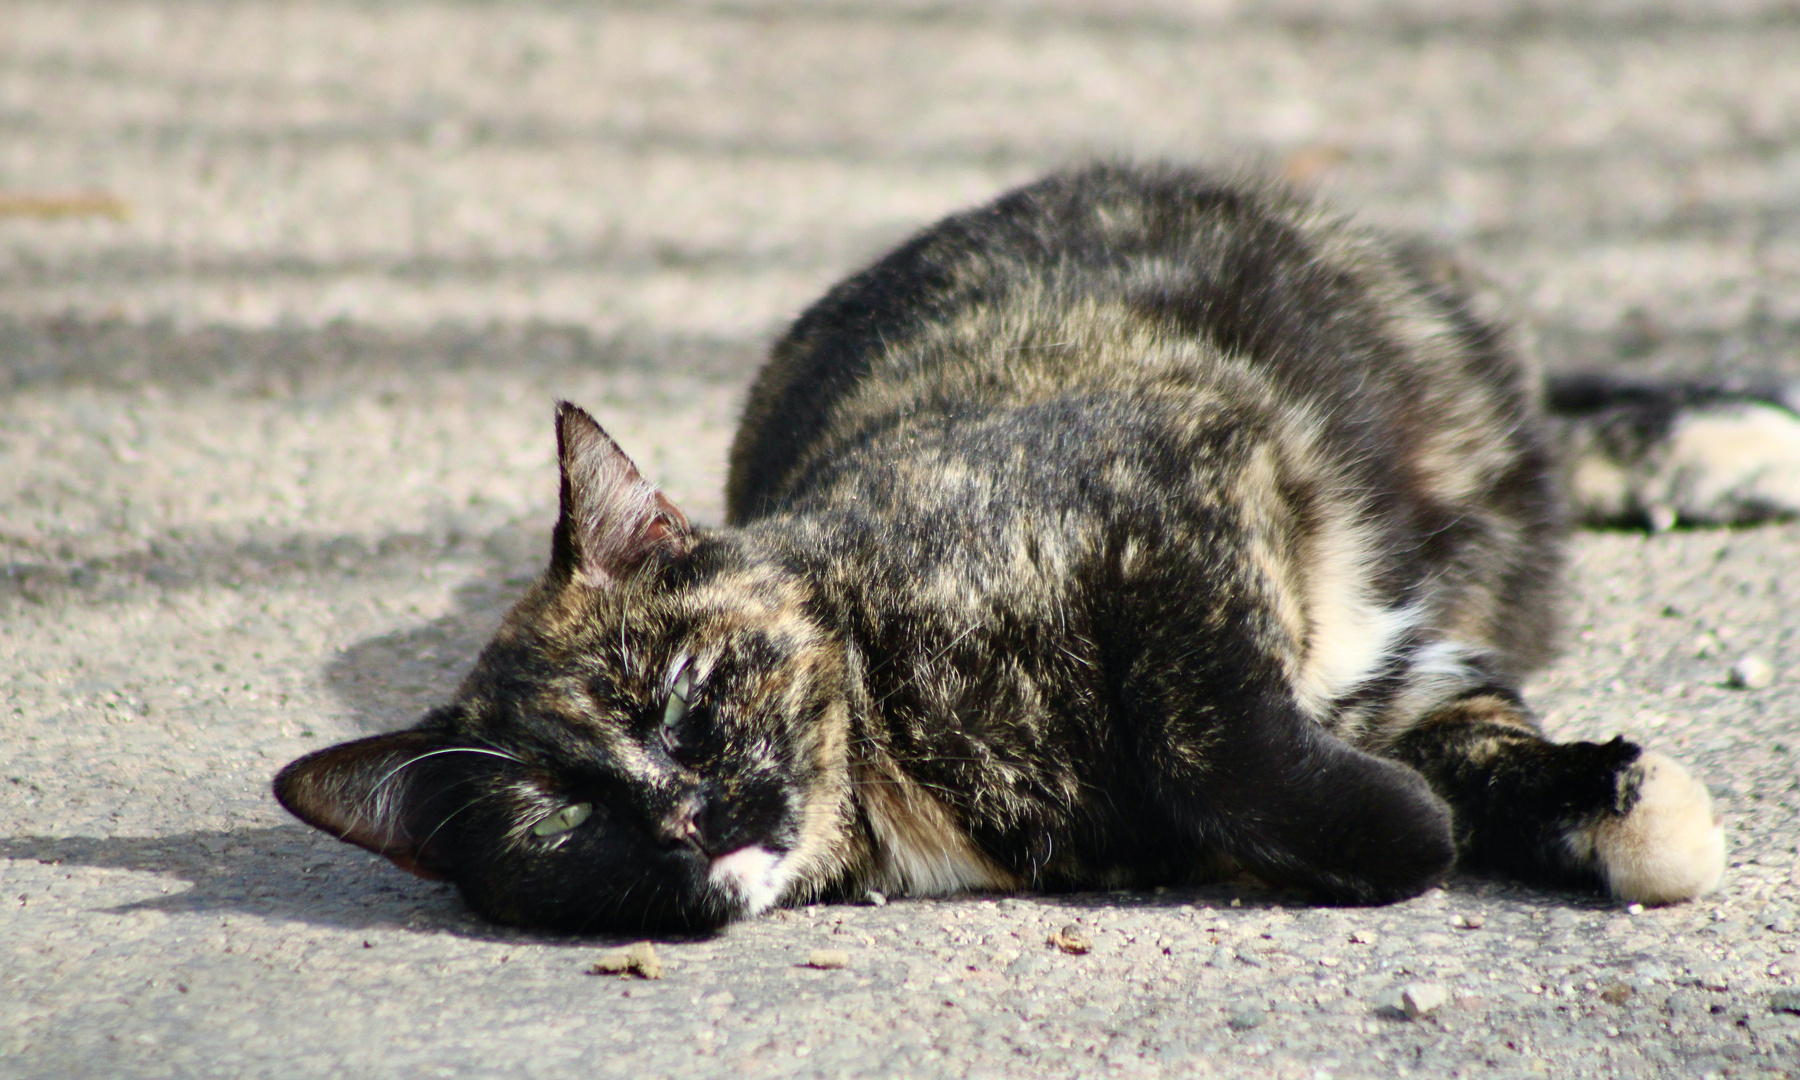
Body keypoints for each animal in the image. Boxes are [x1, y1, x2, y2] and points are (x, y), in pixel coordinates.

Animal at [270, 164, 1800, 928]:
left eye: (684, 702)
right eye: (560, 821)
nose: (690, 818)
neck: (905, 758)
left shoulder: (1174, 483)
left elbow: (1211, 733)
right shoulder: (1380, 676)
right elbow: (1451, 754)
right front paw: (1565, 811)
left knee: (1551, 408)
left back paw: (1737, 438)